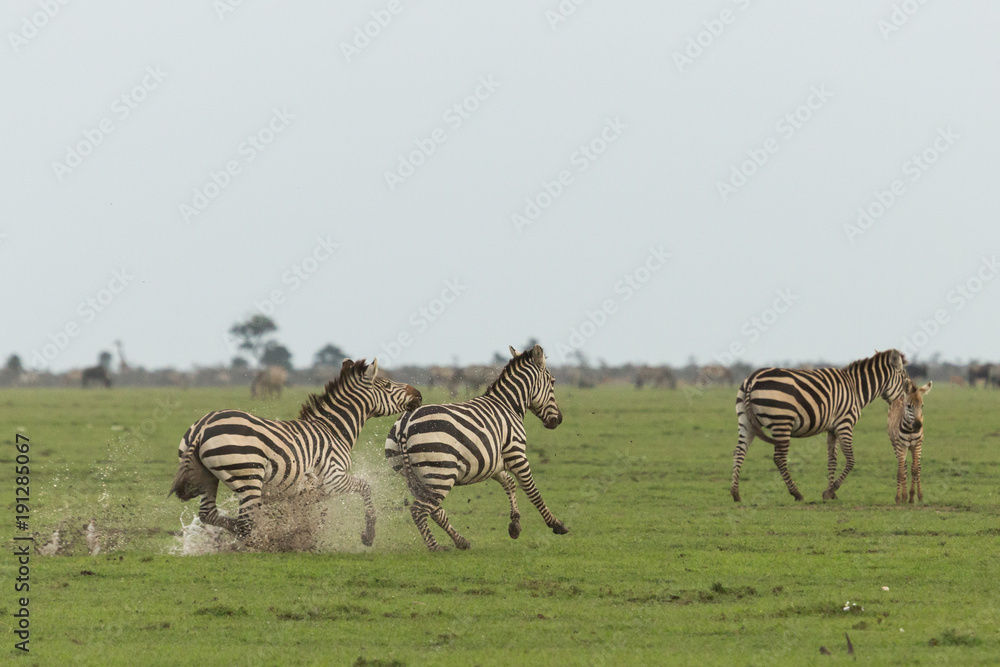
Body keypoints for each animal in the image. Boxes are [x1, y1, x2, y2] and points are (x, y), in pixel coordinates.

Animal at [169, 359, 421, 545]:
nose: (418, 394)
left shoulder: (301, 492)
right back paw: (258, 544)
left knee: (209, 514)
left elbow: (302, 516)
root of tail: (202, 427)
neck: (333, 430)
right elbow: (365, 487)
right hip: (248, 477)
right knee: (245, 523)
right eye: (387, 385)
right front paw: (368, 535)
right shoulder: (333, 479)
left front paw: (299, 537)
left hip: (207, 476)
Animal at [384, 344, 568, 551]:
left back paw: (460, 541)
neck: (508, 405)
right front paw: (556, 524)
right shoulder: (517, 453)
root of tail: (404, 425)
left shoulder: (494, 462)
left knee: (434, 510)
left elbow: (509, 484)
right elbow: (532, 491)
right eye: (552, 382)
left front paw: (515, 525)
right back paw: (435, 548)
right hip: (441, 472)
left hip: (415, 475)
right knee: (419, 510)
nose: (559, 420)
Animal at [731, 349, 910, 502]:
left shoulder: (833, 429)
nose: (904, 405)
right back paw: (796, 493)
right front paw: (831, 491)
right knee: (779, 458)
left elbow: (832, 459)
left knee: (739, 452)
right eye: (906, 380)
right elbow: (851, 460)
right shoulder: (845, 424)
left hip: (745, 421)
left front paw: (831, 493)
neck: (855, 389)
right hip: (782, 421)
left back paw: (735, 493)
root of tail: (752, 378)